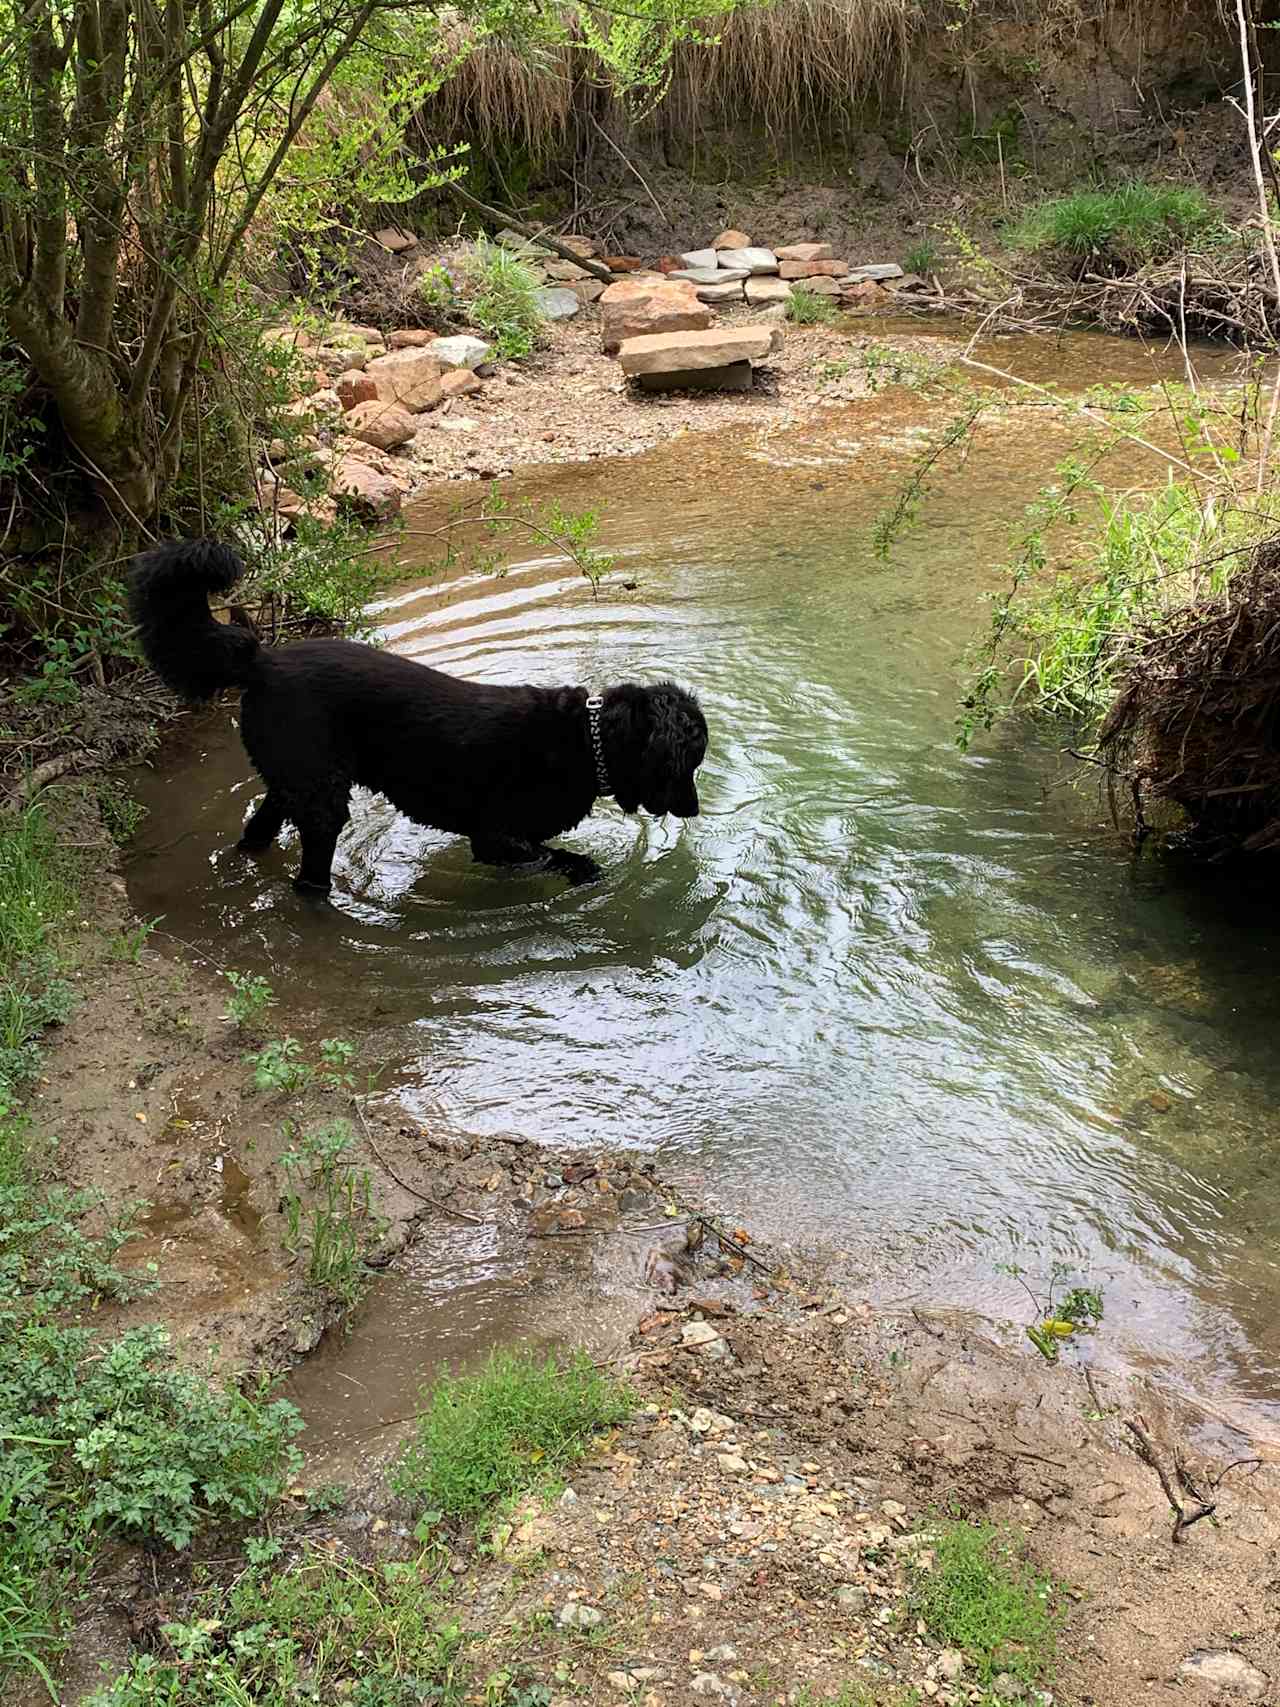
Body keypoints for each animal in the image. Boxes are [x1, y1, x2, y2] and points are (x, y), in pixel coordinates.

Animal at [128, 542, 713, 894]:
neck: (581, 742)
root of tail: (261, 661)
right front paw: (585, 872)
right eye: (688, 763)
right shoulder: (496, 838)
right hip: (323, 802)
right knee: (309, 880)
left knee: (257, 830)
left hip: (293, 781)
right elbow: (558, 857)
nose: (693, 809)